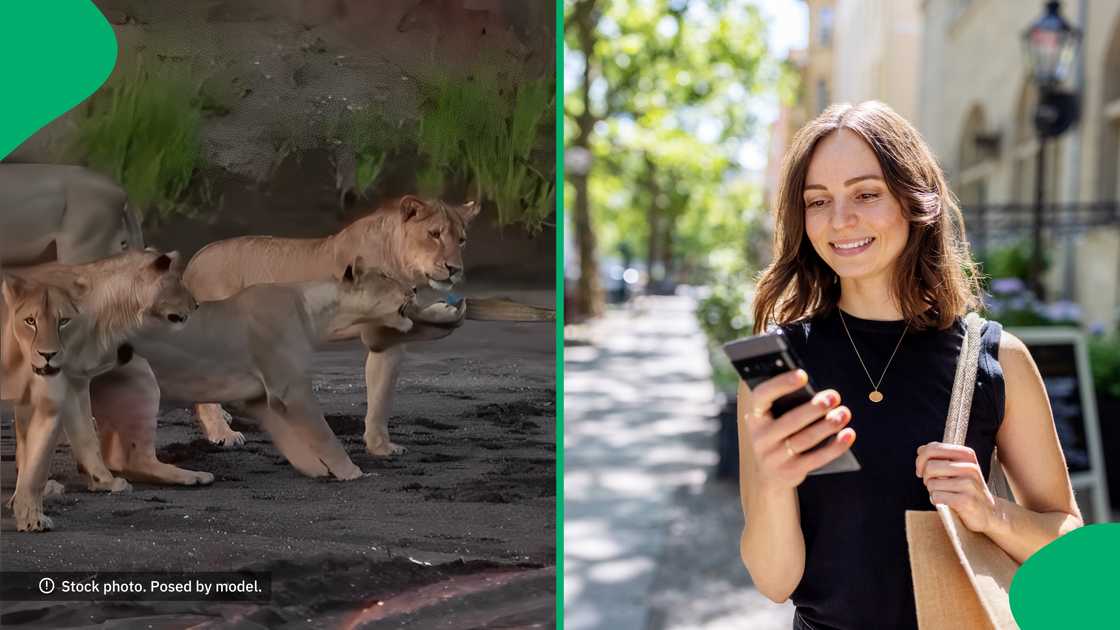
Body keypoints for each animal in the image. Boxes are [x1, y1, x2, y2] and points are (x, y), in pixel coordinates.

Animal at [90, 257, 416, 477]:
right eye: (386, 276)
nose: (413, 288)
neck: (316, 311)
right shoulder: (291, 390)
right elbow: (325, 435)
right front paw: (352, 472)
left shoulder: (255, 398)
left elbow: (289, 438)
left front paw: (314, 468)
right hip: (141, 384)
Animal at [181, 193, 479, 452]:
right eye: (434, 234)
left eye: (462, 240)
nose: (455, 269)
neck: (397, 259)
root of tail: (193, 262)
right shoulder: (377, 330)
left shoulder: (389, 340)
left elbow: (381, 396)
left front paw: (380, 446)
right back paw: (222, 433)